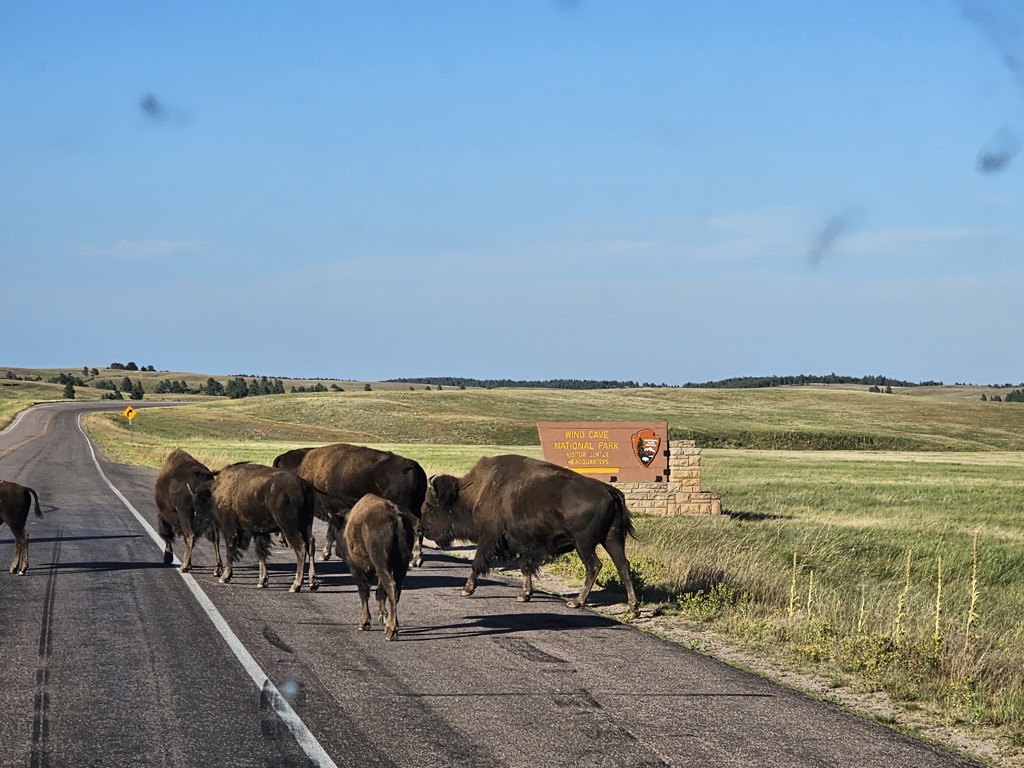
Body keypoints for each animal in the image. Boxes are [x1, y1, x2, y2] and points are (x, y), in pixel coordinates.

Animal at [188, 462, 315, 593]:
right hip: (306, 525)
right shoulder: (258, 532)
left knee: (301, 547)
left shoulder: (230, 529)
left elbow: (230, 551)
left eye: (199, 505)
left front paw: (224, 577)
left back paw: (296, 585)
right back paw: (312, 583)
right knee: (310, 544)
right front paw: (262, 581)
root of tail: (303, 485)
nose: (196, 525)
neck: (216, 492)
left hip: (289, 528)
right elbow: (260, 553)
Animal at [270, 444, 425, 565]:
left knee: (416, 525)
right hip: (415, 506)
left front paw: (325, 554)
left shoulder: (332, 509)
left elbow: (330, 532)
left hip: (404, 506)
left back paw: (415, 559)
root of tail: (412, 465)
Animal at [335, 495, 415, 638]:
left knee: (390, 587)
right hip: (400, 564)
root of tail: (395, 516)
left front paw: (364, 623)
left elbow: (364, 592)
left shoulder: (357, 569)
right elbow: (379, 592)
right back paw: (391, 625)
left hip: (381, 563)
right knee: (395, 589)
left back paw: (390, 630)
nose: (337, 552)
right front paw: (382, 616)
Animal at [419, 456, 634, 618]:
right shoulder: (523, 544)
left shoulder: (488, 536)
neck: (478, 491)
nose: (421, 529)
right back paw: (634, 608)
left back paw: (576, 602)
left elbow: (477, 563)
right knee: (623, 565)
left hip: (584, 543)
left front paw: (467, 589)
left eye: (430, 505)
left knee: (594, 566)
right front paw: (524, 594)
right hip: (612, 539)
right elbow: (525, 567)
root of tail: (610, 490)